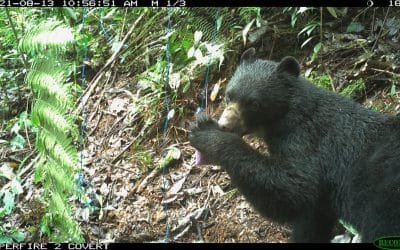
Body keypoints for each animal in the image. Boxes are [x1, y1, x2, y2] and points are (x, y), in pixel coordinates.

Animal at [189, 47, 400, 243]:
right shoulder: (321, 202)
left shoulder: (308, 142)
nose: (225, 124)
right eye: (228, 96)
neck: (288, 115)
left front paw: (205, 132)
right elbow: (311, 221)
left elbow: (294, 187)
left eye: (253, 104)